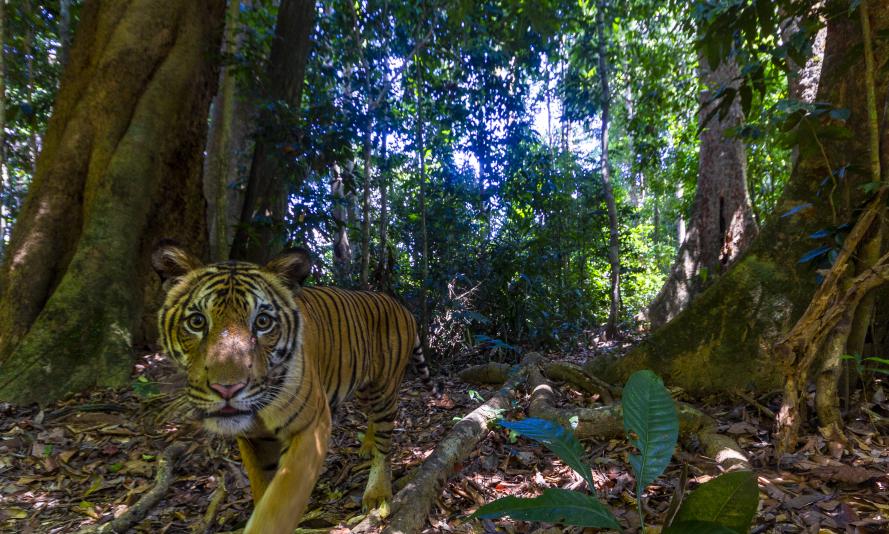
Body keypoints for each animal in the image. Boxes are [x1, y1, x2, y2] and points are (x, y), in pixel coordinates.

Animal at [151, 243, 436, 534]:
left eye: (263, 322)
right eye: (197, 322)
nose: (227, 389)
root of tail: (400, 305)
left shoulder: (312, 427)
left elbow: (281, 501)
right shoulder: (251, 439)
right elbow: (262, 488)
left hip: (383, 389)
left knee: (384, 443)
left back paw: (377, 493)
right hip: (363, 387)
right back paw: (366, 445)